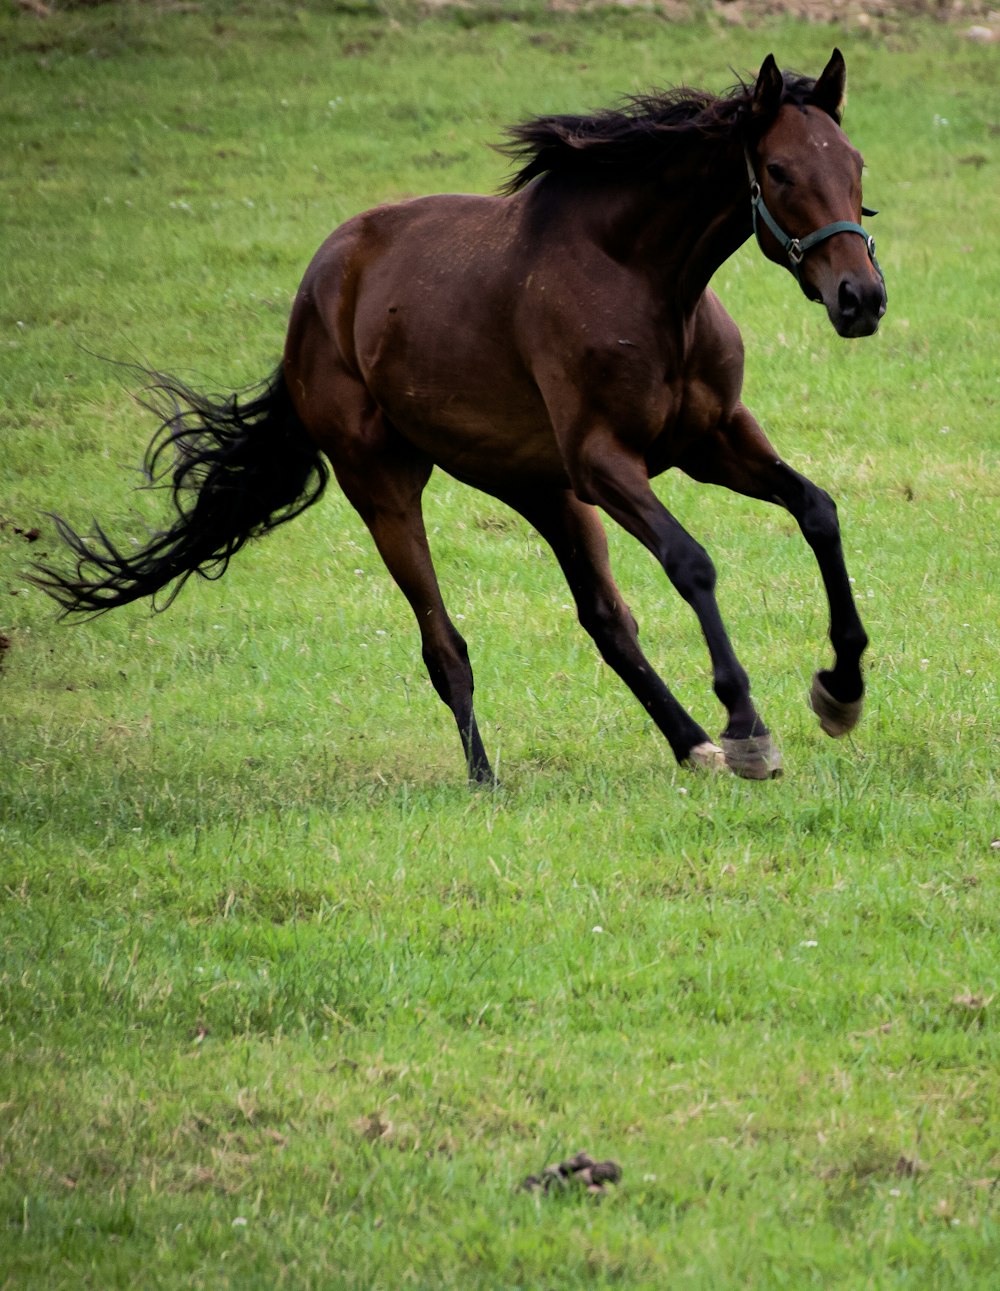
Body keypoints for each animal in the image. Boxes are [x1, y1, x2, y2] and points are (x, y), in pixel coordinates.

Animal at [35, 50, 887, 784]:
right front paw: (748, 727)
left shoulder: (714, 439)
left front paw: (839, 690)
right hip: (388, 488)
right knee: (444, 644)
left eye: (856, 165)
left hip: (541, 490)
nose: (861, 299)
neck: (644, 280)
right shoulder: (603, 460)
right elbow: (692, 561)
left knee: (606, 621)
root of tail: (314, 294)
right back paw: (487, 776)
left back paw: (689, 744)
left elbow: (817, 510)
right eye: (779, 171)